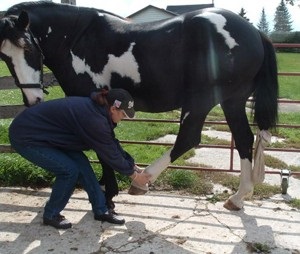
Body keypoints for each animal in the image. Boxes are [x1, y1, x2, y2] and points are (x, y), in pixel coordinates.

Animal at [0, 1, 278, 210]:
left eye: (28, 47)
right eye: (4, 56)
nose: (33, 99)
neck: (77, 38)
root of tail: (255, 33)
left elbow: (102, 147)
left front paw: (109, 197)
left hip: (201, 101)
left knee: (188, 139)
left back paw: (142, 181)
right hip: (233, 102)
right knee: (243, 139)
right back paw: (238, 198)